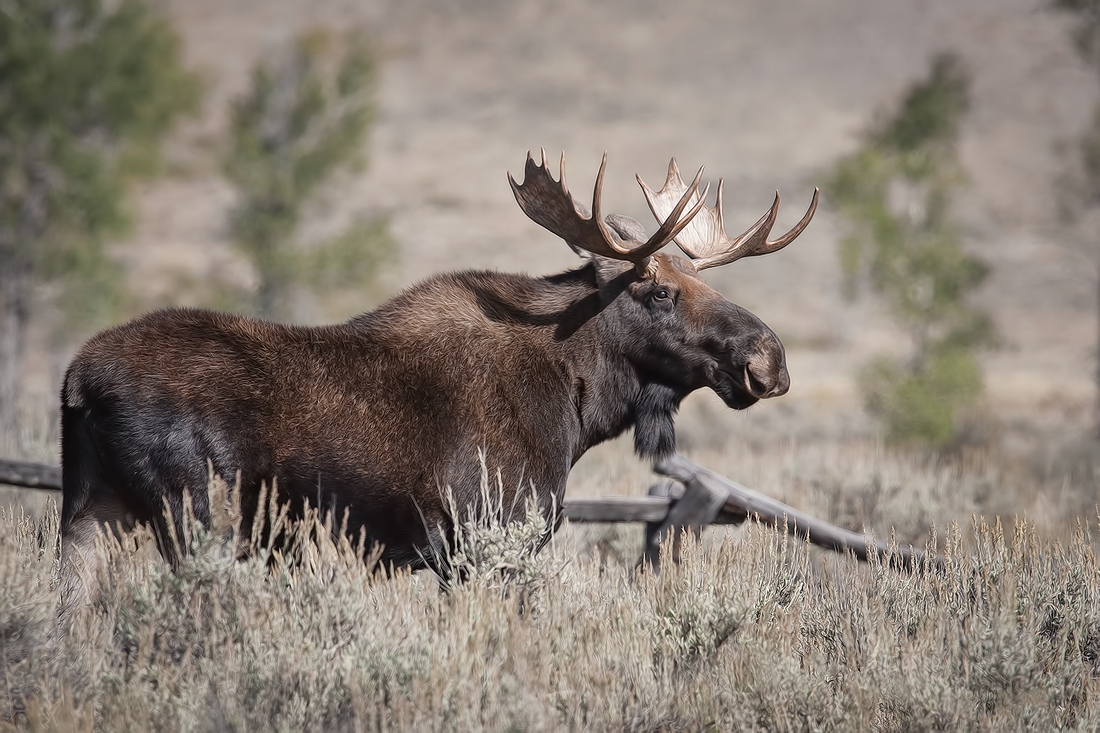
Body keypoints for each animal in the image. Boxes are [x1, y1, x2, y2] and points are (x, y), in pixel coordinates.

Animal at [60, 149, 818, 598]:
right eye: (659, 292)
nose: (769, 358)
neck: (576, 409)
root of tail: (77, 384)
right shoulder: (485, 542)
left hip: (90, 512)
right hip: (196, 518)